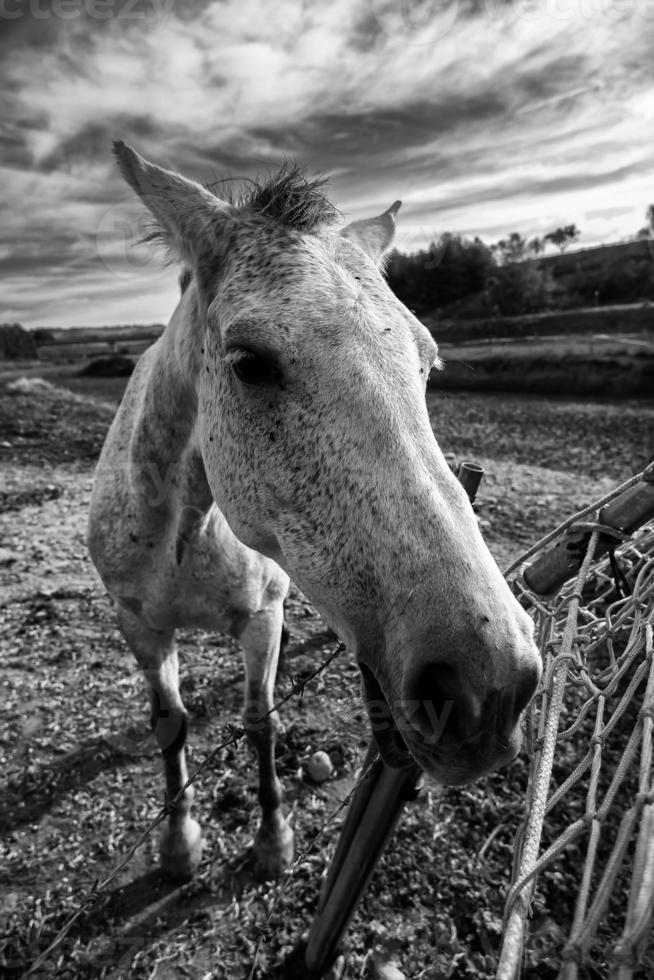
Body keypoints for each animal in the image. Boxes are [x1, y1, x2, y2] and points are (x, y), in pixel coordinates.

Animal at [88, 142, 544, 884]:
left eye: (428, 362)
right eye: (249, 362)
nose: (490, 687)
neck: (184, 529)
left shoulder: (263, 618)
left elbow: (260, 724)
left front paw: (273, 840)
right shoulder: (140, 625)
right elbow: (170, 724)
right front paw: (179, 844)